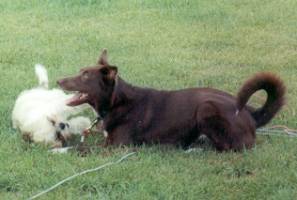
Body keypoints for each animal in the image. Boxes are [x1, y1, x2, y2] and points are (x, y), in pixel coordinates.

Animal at [57, 50, 284, 152]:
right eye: (81, 71)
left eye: (85, 76)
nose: (59, 80)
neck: (116, 102)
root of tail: (251, 113)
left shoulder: (118, 147)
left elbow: (82, 148)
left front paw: (57, 150)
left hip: (206, 108)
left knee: (231, 146)